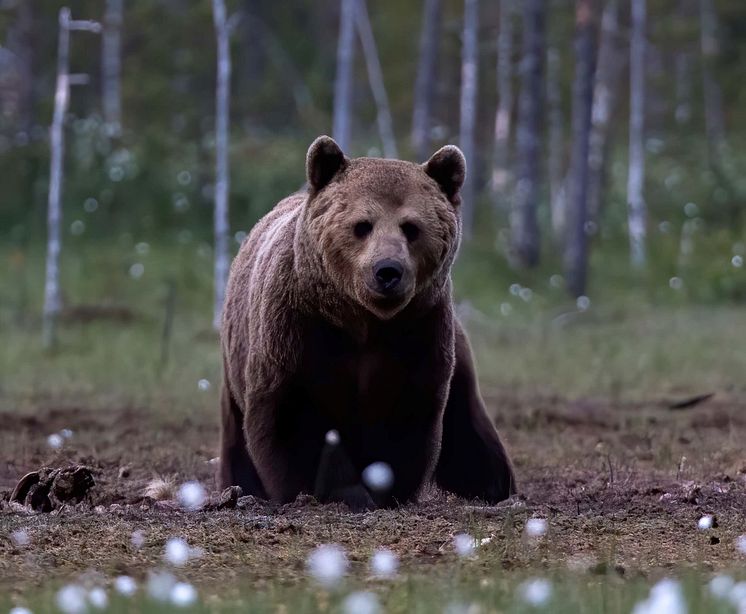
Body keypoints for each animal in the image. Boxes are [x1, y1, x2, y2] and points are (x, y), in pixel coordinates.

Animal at [218, 136, 516, 510]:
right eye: (362, 225)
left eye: (411, 227)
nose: (387, 271)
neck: (362, 321)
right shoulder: (297, 330)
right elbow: (291, 418)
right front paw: (335, 490)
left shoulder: (418, 330)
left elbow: (408, 415)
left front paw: (384, 488)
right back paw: (241, 488)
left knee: (470, 428)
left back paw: (493, 484)